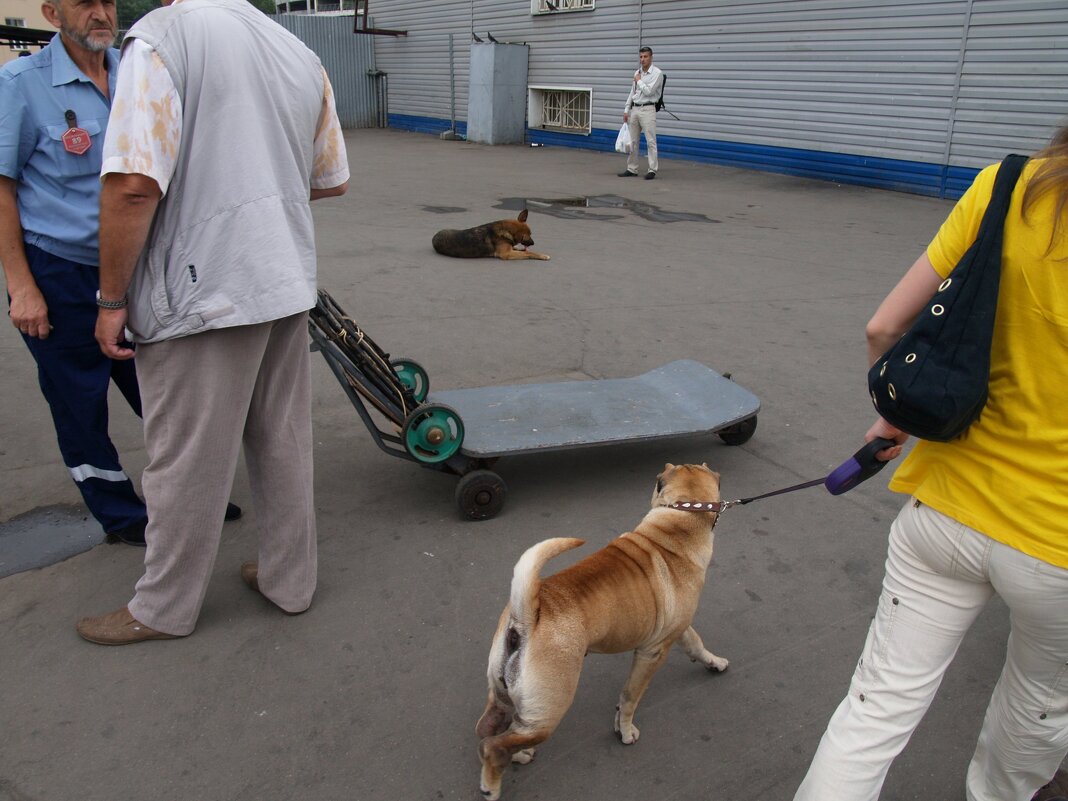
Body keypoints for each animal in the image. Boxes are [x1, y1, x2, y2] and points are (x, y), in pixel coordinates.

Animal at [478, 463, 734, 801]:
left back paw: (518, 754)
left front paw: (714, 662)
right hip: (551, 707)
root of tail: (526, 618)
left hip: (507, 695)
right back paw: (492, 786)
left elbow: (696, 644)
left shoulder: (676, 631)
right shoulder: (652, 653)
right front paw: (625, 730)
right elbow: (630, 697)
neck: (678, 520)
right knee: (494, 746)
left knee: (497, 728)